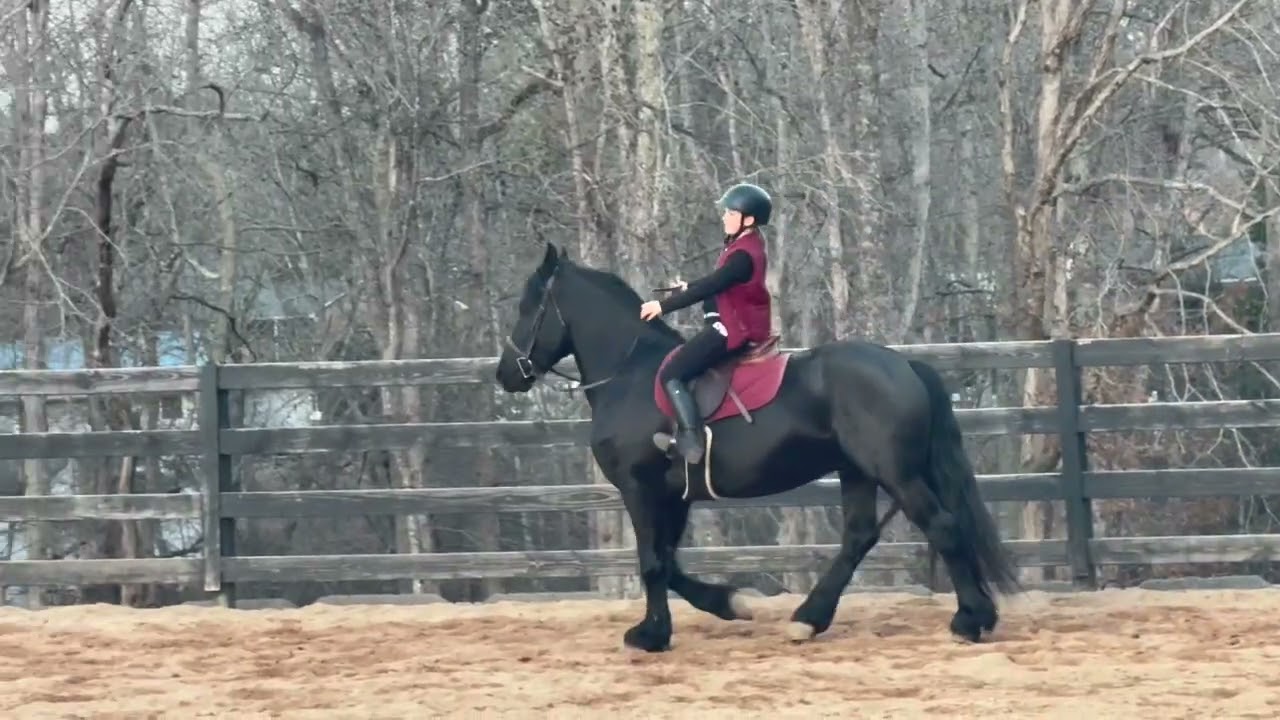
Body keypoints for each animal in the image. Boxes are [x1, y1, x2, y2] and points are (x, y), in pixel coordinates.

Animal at [494, 242, 1021, 652]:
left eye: (528, 306)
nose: (506, 375)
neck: (631, 375)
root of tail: (904, 364)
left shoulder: (639, 488)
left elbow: (652, 563)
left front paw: (651, 635)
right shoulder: (674, 494)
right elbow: (669, 562)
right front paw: (726, 603)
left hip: (895, 472)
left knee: (943, 527)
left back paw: (969, 620)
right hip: (856, 470)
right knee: (859, 537)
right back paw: (809, 619)